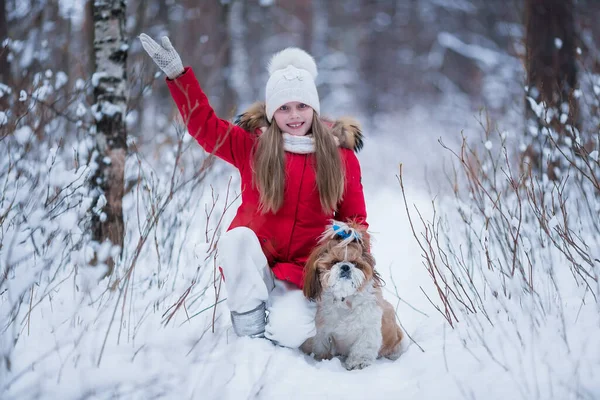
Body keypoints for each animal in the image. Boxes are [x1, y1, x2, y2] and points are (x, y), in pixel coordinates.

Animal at [300, 220, 404, 370]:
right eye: (334, 262)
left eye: (355, 263)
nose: (345, 266)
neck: (345, 299)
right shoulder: (323, 331)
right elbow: (322, 345)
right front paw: (321, 358)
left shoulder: (368, 329)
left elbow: (362, 348)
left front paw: (358, 363)